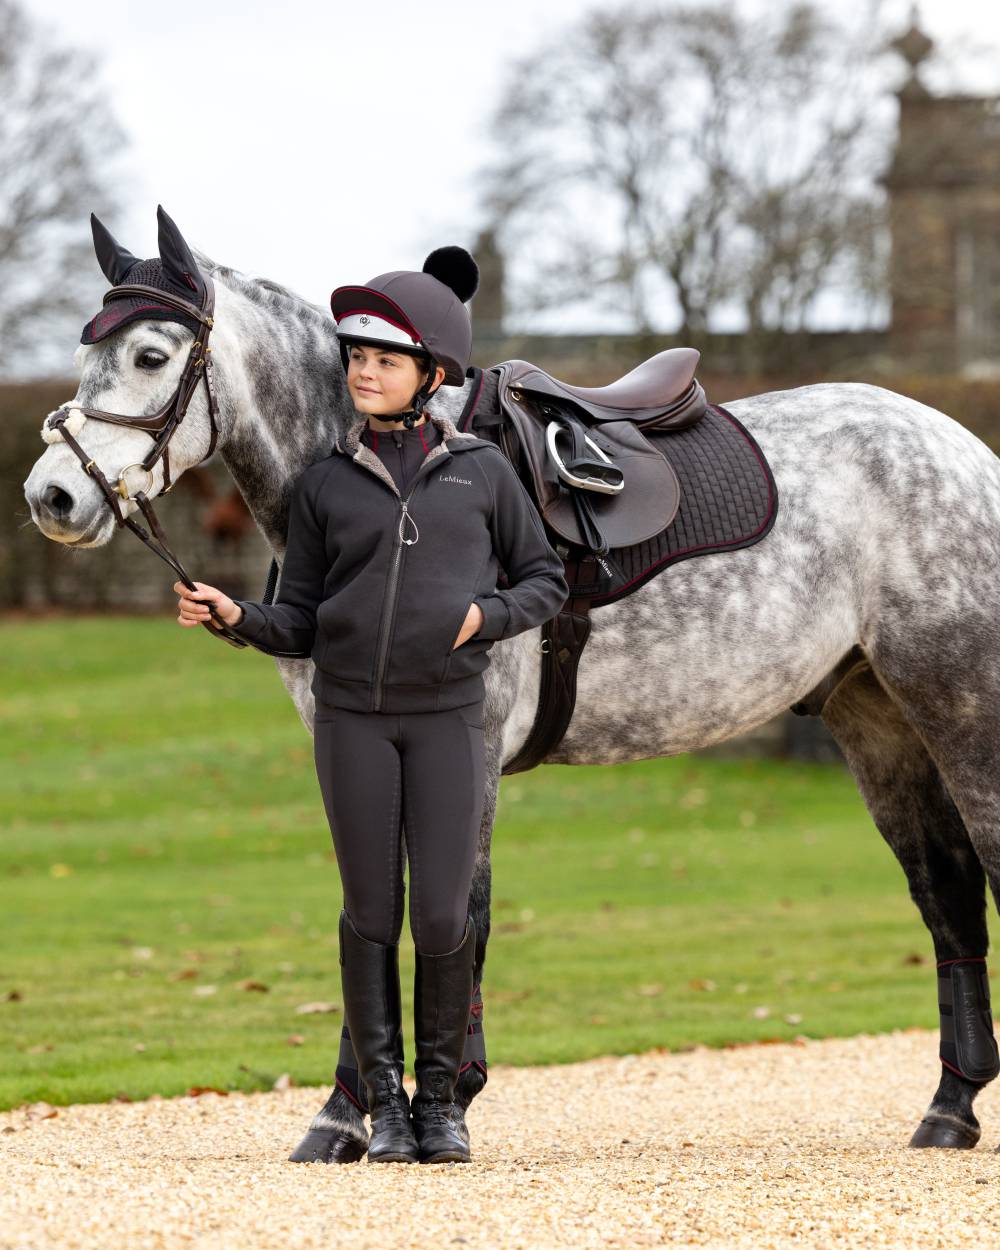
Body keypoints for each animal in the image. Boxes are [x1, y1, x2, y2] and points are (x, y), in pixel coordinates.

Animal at [19, 227, 1000, 1160]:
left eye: (151, 355)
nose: (51, 497)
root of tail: (960, 448)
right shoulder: (356, 747)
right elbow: (374, 910)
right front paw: (350, 1118)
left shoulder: (470, 748)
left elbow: (458, 912)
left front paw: (437, 1104)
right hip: (873, 718)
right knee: (947, 895)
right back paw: (949, 1108)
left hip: (958, 705)